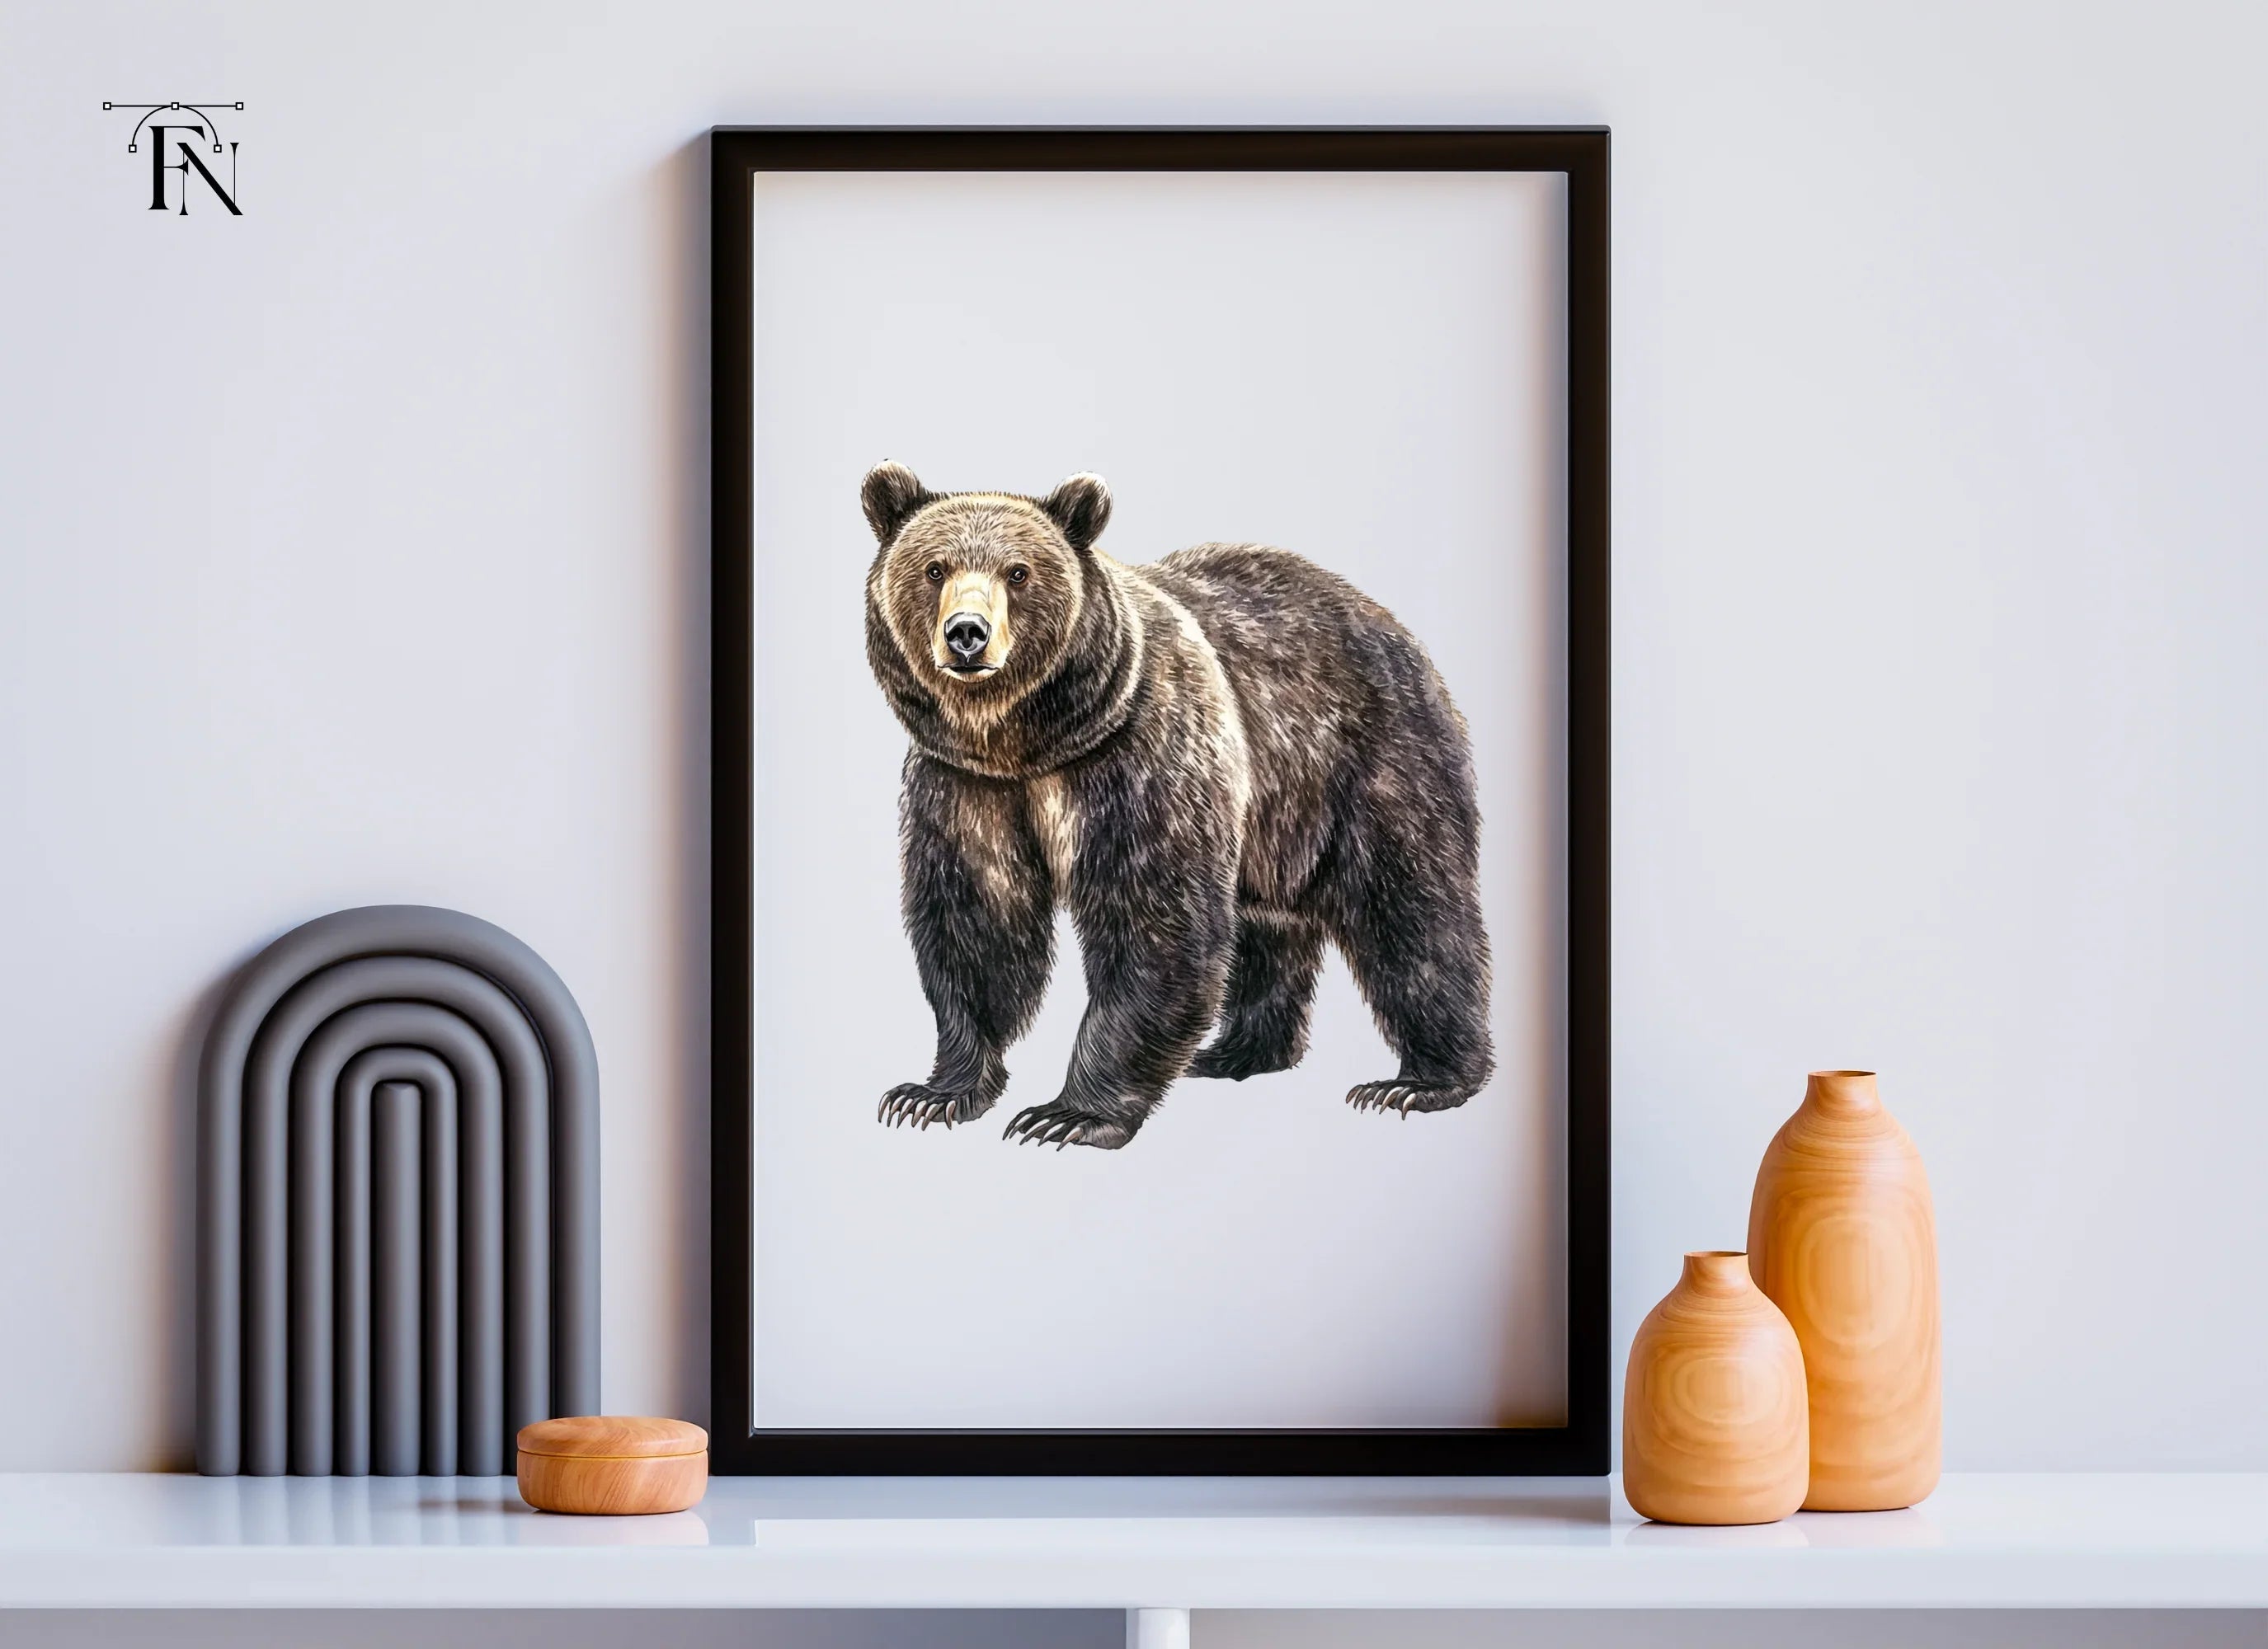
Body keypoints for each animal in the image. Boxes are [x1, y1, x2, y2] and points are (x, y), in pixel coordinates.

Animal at [860, 462, 1492, 1150]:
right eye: (935, 568)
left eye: (1019, 572)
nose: (967, 634)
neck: (1027, 745)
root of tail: (1390, 624)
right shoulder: (963, 785)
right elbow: (976, 921)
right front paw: (933, 1092)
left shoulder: (1143, 758)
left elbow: (1156, 921)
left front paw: (1068, 1114)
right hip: (1272, 819)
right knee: (1265, 927)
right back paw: (1238, 1050)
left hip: (1369, 762)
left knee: (1411, 909)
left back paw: (1422, 1080)